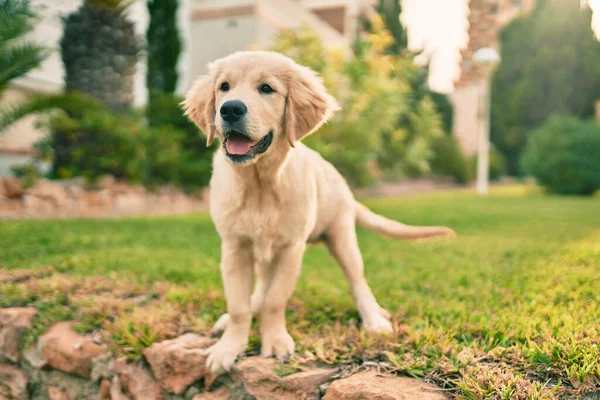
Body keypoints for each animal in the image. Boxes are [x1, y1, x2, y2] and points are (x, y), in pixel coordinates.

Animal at [183, 51, 454, 374]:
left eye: (266, 89)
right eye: (224, 87)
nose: (230, 109)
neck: (260, 184)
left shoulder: (291, 248)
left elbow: (276, 299)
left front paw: (274, 341)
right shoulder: (235, 247)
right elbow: (239, 305)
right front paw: (229, 348)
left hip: (342, 238)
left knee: (358, 283)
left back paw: (374, 319)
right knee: (259, 289)